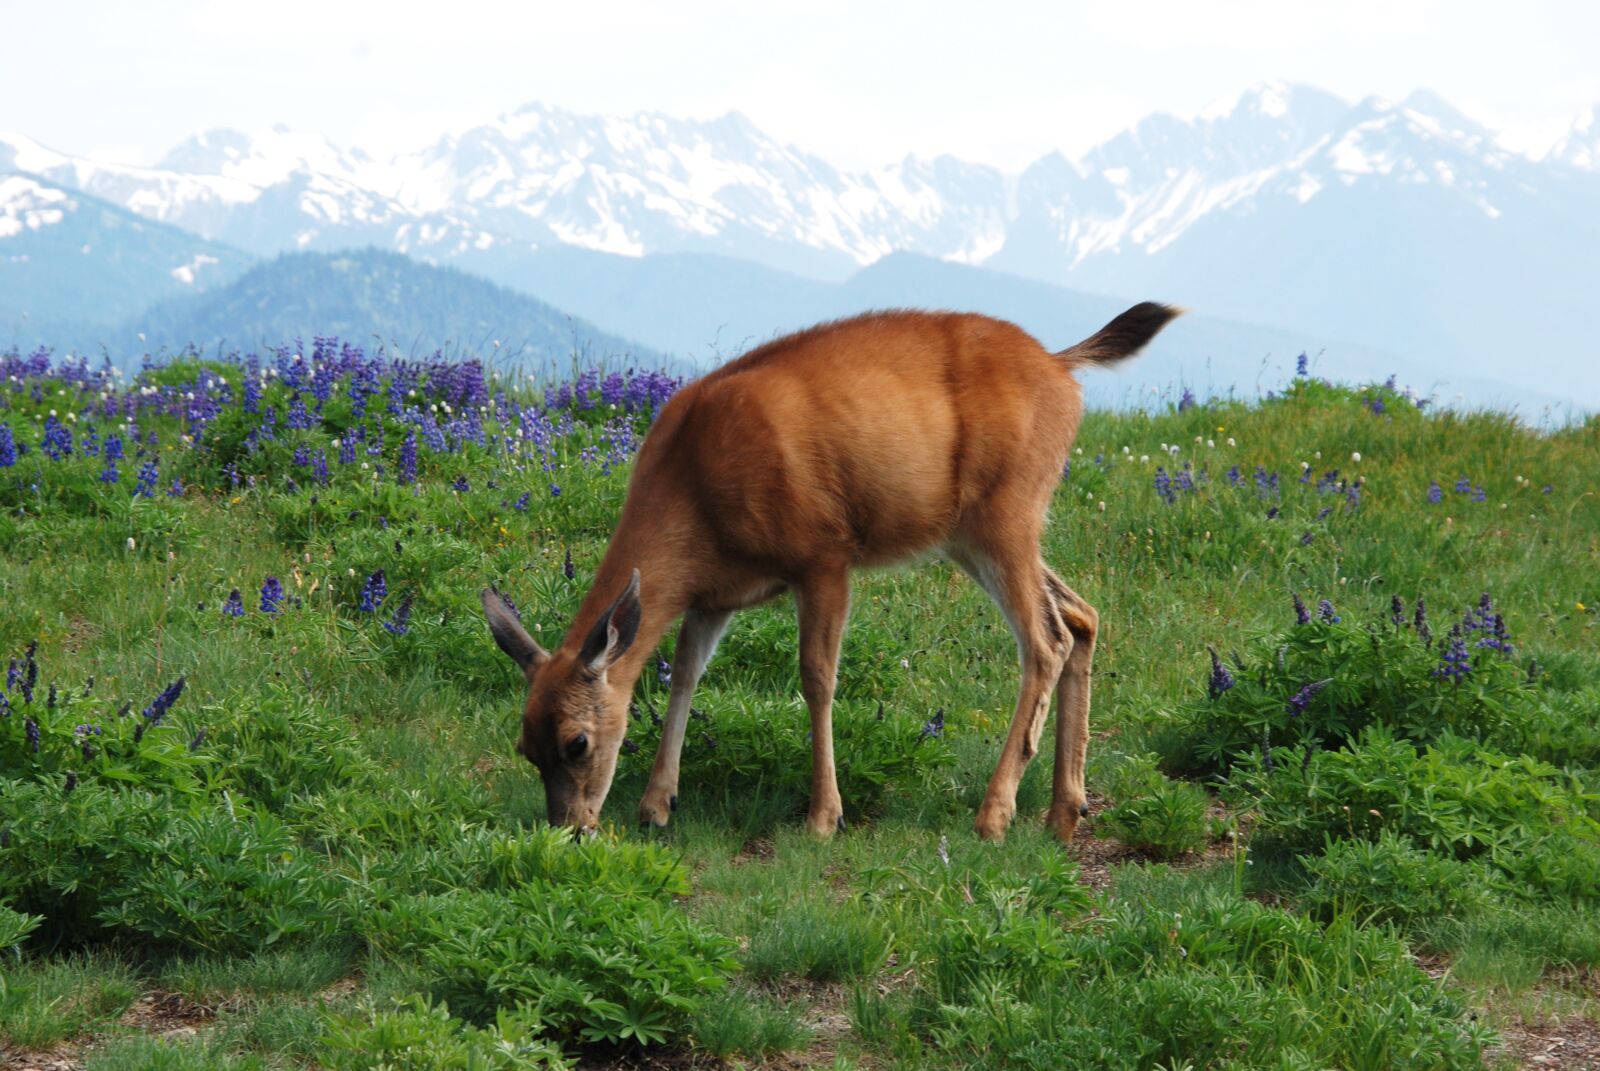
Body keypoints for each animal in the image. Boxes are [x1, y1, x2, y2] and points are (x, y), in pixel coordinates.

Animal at [482, 302, 1179, 843]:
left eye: (576, 743)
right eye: (524, 746)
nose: (570, 829)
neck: (694, 494)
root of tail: (1063, 366)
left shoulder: (823, 555)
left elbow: (817, 679)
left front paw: (824, 817)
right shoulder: (712, 594)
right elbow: (684, 676)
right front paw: (657, 803)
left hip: (1006, 515)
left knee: (1046, 639)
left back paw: (995, 815)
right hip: (973, 535)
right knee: (1081, 615)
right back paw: (1064, 812)